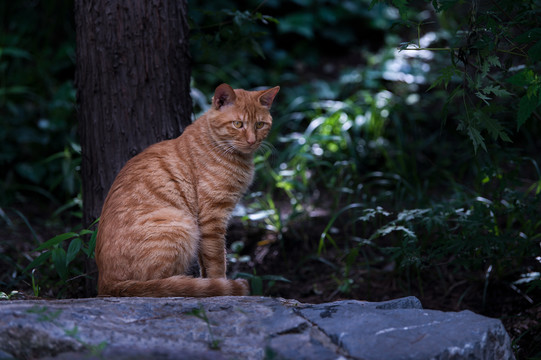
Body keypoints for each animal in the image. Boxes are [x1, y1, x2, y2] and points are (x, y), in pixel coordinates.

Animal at [94, 83, 278, 296]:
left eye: (259, 125)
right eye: (238, 124)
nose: (251, 141)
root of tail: (106, 282)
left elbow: (205, 261)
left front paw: (211, 283)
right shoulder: (212, 217)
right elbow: (217, 260)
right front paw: (221, 285)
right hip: (182, 225)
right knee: (157, 285)